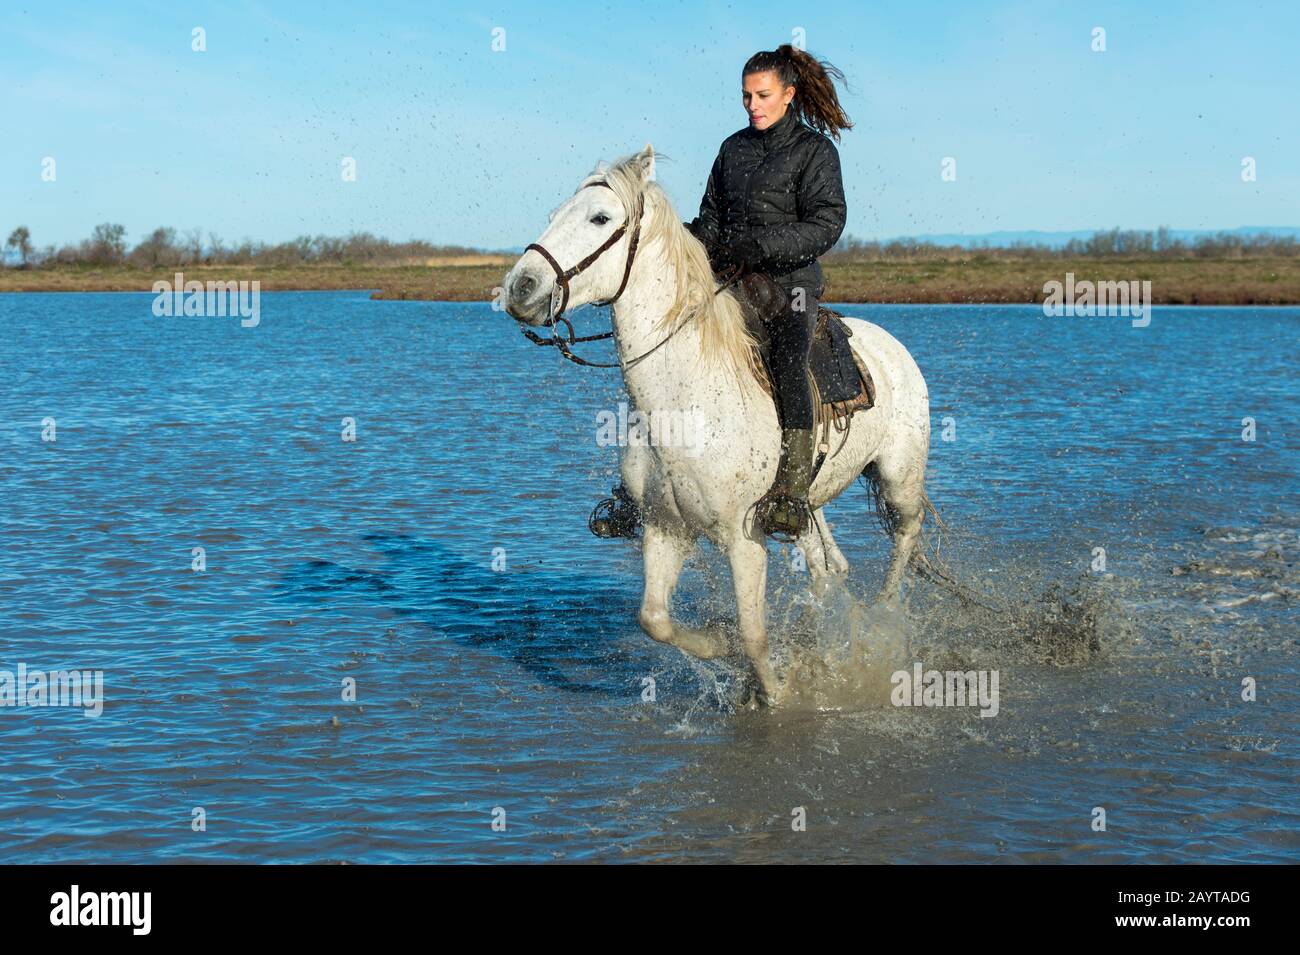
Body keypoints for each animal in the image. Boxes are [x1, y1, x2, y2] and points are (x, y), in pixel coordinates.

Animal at [499, 145, 935, 706]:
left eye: (600, 218)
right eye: (556, 215)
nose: (520, 288)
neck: (686, 404)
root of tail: (889, 345)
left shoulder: (744, 540)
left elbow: (754, 634)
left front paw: (777, 689)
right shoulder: (666, 528)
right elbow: (656, 620)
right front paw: (720, 646)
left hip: (899, 478)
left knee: (904, 538)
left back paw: (882, 616)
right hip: (807, 509)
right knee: (826, 570)